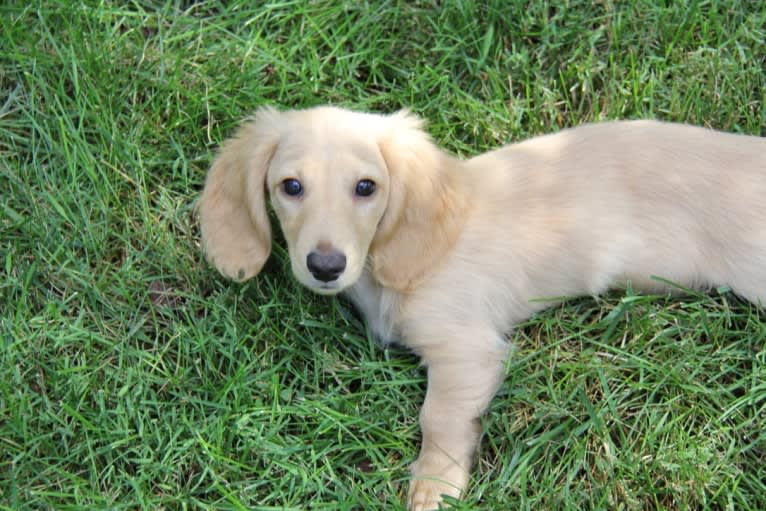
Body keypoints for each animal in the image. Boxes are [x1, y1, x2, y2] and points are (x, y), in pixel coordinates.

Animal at [200, 106, 766, 510]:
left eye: (366, 187)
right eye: (290, 187)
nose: (324, 266)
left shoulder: (466, 348)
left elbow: (439, 416)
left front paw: (435, 484)